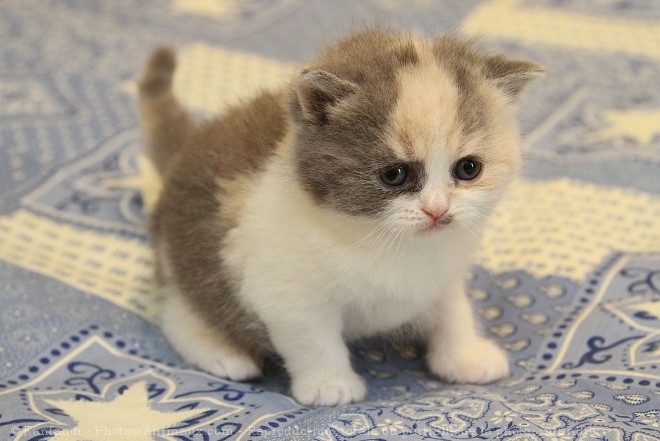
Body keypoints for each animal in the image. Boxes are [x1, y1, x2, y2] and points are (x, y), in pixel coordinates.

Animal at [138, 28, 540, 406]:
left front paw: (464, 358)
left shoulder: (444, 272)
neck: (386, 242)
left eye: (468, 168)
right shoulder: (284, 290)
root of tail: (190, 145)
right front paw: (329, 385)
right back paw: (223, 352)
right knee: (179, 311)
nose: (437, 209)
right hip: (193, 258)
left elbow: (454, 311)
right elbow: (313, 340)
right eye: (394, 174)